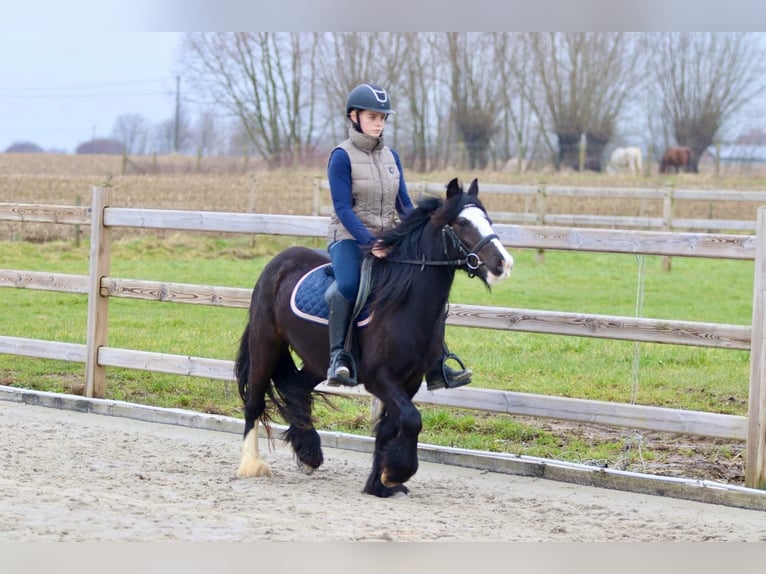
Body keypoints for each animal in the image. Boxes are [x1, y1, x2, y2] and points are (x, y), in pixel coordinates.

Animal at [237, 179, 512, 500]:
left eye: (488, 220)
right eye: (462, 223)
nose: (503, 263)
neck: (403, 303)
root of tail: (280, 261)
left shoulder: (410, 380)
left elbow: (391, 427)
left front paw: (380, 483)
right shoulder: (380, 378)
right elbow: (411, 420)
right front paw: (396, 473)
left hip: (317, 361)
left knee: (296, 388)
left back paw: (309, 453)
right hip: (265, 345)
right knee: (254, 400)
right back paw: (251, 465)